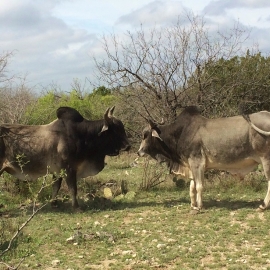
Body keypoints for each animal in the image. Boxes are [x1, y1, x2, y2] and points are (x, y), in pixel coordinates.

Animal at [138, 106, 270, 212]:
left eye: (145, 135)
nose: (139, 152)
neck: (180, 133)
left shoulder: (197, 162)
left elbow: (199, 186)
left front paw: (199, 206)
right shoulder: (191, 165)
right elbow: (192, 187)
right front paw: (193, 205)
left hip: (265, 159)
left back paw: (263, 206)